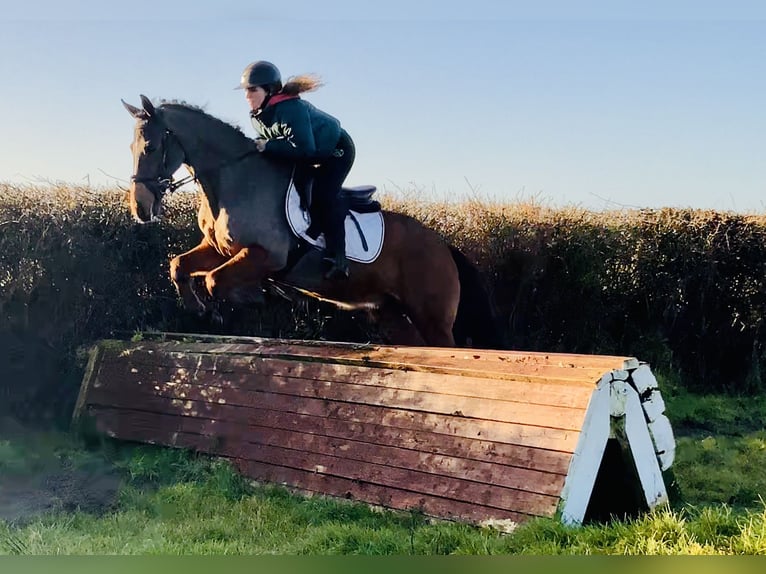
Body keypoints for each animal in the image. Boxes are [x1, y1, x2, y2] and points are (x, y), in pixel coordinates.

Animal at [122, 95, 502, 348]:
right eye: (131, 148)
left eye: (151, 147)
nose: (140, 208)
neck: (234, 179)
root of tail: (444, 246)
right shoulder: (219, 249)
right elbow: (179, 266)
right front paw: (199, 309)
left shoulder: (266, 255)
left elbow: (216, 280)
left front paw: (251, 298)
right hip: (392, 314)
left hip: (432, 316)